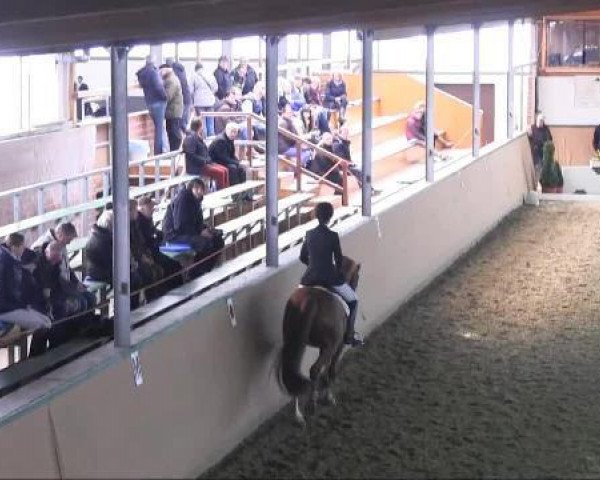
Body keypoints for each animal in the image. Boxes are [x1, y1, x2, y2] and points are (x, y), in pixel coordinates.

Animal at [278, 255, 360, 424]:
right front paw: (328, 397)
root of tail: (310, 302)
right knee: (314, 369)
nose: (354, 286)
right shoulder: (338, 345)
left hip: (293, 341)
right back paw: (311, 406)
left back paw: (298, 415)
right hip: (330, 345)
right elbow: (331, 368)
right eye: (357, 276)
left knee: (293, 367)